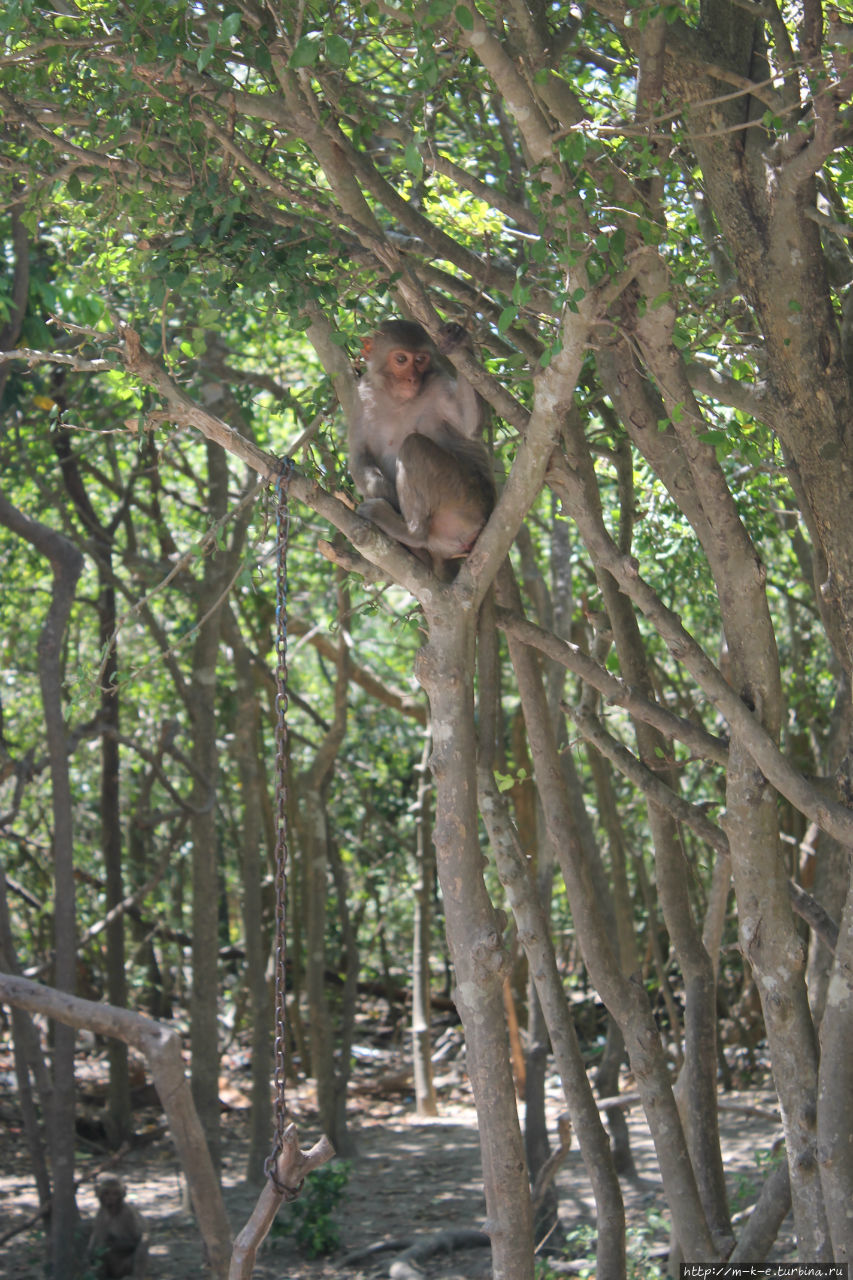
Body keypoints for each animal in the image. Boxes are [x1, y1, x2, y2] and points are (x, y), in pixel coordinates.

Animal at [345, 317, 491, 573]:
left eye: (420, 360)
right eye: (401, 359)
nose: (412, 379)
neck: (397, 399)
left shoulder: (437, 384)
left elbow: (469, 426)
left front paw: (460, 340)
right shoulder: (362, 396)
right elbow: (359, 455)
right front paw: (382, 490)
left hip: (467, 503)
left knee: (414, 445)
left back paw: (410, 533)